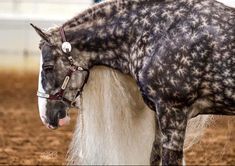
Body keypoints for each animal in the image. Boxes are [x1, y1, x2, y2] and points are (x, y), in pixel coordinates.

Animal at [31, 0, 235, 165]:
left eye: (48, 67)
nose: (45, 117)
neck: (162, 32)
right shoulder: (160, 116)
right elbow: (154, 157)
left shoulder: (173, 113)